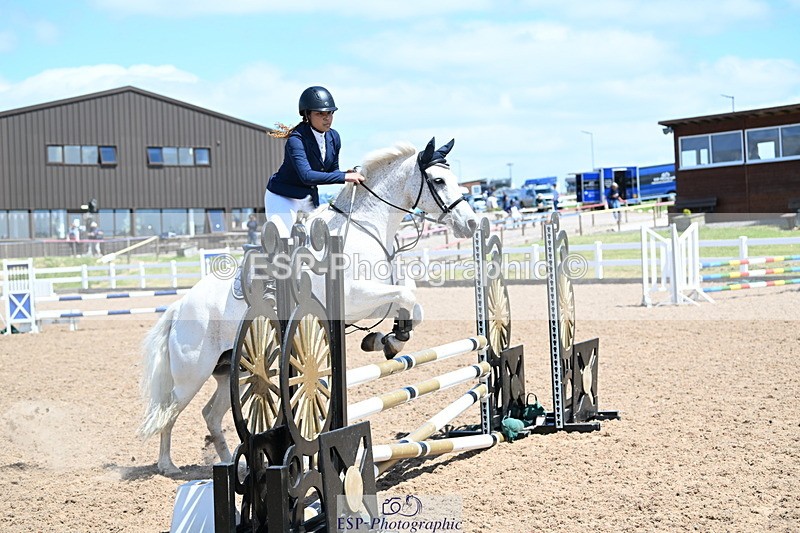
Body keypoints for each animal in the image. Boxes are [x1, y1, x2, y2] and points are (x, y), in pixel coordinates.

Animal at [138, 138, 479, 474]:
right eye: (438, 180)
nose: (472, 223)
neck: (364, 229)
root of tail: (180, 306)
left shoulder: (374, 297)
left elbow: (410, 301)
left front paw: (389, 339)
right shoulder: (354, 296)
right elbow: (407, 296)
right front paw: (388, 340)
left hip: (228, 370)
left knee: (210, 414)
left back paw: (232, 463)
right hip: (192, 374)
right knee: (168, 412)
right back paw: (168, 466)